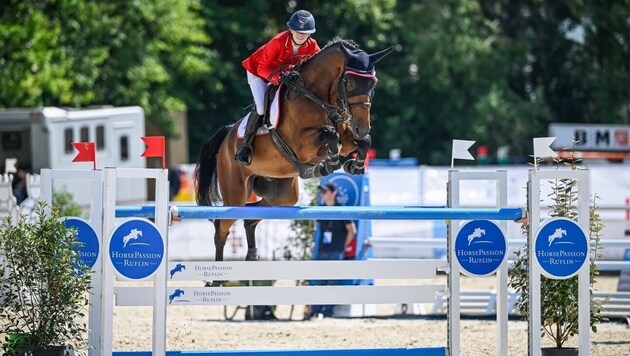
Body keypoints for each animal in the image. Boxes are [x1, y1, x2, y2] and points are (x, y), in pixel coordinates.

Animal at [195, 38, 392, 278]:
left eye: (373, 83)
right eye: (351, 83)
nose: (361, 128)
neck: (317, 97)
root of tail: (227, 136)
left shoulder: (346, 137)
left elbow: (362, 142)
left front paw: (354, 165)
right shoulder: (302, 144)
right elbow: (329, 134)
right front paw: (330, 163)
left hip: (282, 195)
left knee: (251, 217)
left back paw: (252, 256)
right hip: (236, 193)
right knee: (221, 229)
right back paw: (216, 280)